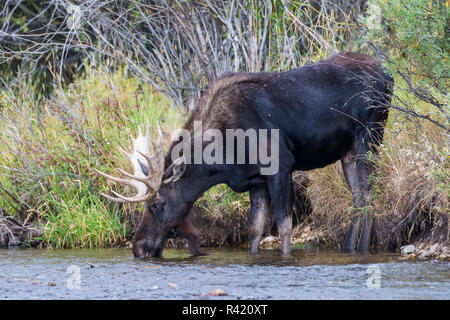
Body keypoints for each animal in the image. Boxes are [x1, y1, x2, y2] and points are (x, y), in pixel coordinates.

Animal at [96, 52, 392, 258]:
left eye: (157, 204)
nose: (138, 247)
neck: (223, 160)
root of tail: (388, 75)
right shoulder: (255, 181)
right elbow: (256, 229)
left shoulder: (280, 167)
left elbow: (284, 226)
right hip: (348, 152)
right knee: (358, 196)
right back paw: (349, 248)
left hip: (369, 137)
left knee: (369, 193)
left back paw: (362, 248)